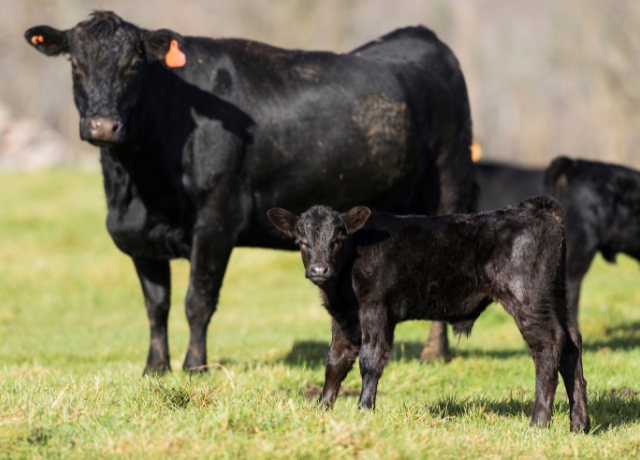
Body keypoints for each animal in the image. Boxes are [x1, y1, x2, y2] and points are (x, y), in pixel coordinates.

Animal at [25, 11, 475, 373]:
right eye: (75, 64)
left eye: (135, 65)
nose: (102, 125)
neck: (135, 190)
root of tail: (419, 35)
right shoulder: (140, 238)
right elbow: (156, 306)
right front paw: (155, 368)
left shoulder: (216, 223)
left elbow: (197, 300)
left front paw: (194, 366)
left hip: (451, 183)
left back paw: (435, 353)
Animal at [267, 197, 590, 433]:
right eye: (301, 242)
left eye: (337, 241)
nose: (319, 270)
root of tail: (533, 206)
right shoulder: (345, 317)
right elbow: (335, 361)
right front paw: (322, 408)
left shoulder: (376, 308)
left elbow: (370, 359)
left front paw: (364, 409)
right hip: (556, 295)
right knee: (572, 345)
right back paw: (579, 425)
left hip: (528, 297)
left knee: (548, 345)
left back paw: (538, 422)